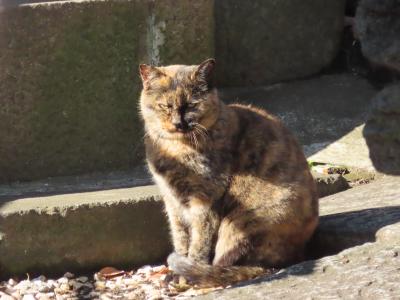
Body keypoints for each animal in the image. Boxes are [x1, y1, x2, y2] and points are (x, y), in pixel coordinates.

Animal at [138, 58, 318, 286]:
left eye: (192, 105)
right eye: (164, 106)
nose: (179, 123)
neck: (175, 149)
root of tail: (299, 254)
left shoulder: (205, 199)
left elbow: (199, 242)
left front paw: (186, 273)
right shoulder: (172, 201)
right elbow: (180, 237)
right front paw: (176, 270)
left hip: (240, 223)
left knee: (234, 263)